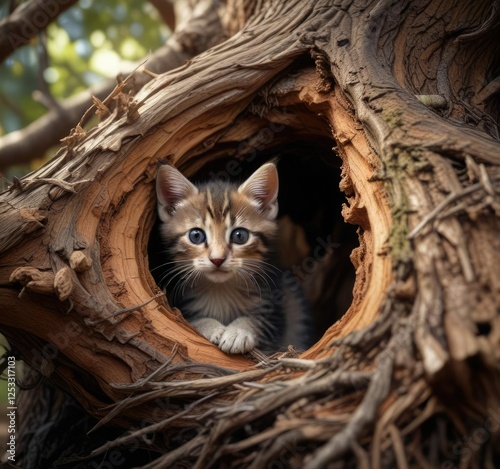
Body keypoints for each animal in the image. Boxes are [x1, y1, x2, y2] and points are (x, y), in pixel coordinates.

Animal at [155, 163, 312, 352]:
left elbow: (260, 321)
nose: (217, 259)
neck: (221, 289)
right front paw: (211, 326)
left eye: (239, 236)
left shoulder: (275, 308)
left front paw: (239, 331)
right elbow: (190, 320)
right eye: (196, 236)